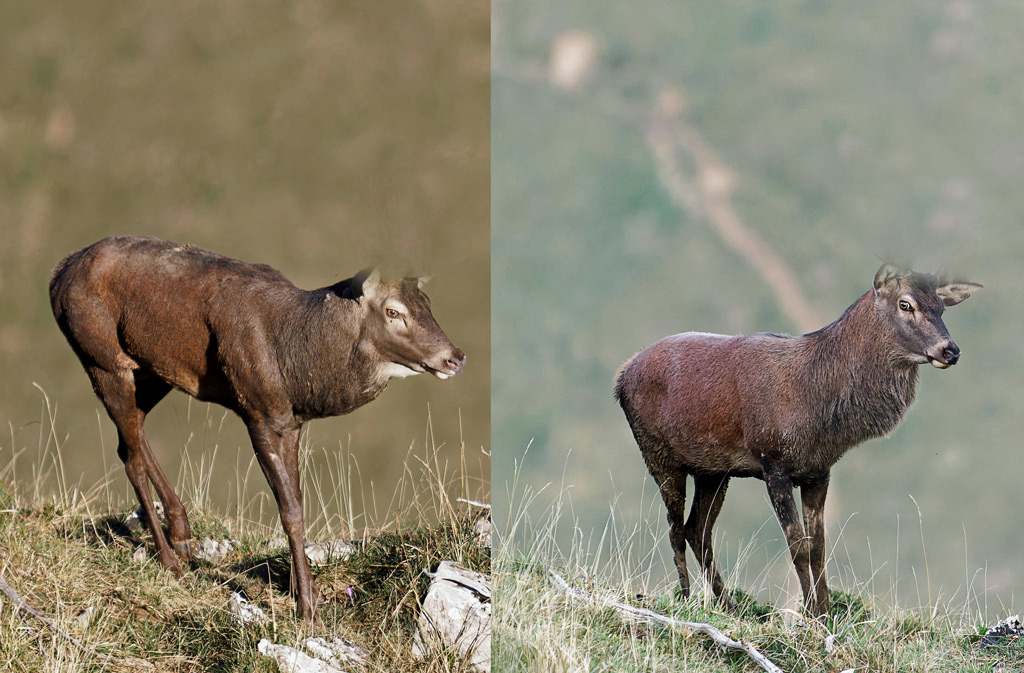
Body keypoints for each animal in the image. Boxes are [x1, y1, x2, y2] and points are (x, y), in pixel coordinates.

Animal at [49, 235, 466, 621]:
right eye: (394, 311)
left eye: (428, 304)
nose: (455, 357)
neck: (297, 368)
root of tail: (58, 276)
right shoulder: (257, 411)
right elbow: (288, 510)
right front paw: (306, 607)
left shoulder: (291, 422)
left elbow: (297, 500)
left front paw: (307, 592)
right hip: (102, 358)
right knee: (131, 457)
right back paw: (171, 562)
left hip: (151, 372)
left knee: (130, 441)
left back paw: (182, 534)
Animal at [614, 264, 981, 617]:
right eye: (906, 304)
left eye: (941, 308)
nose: (950, 350)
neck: (820, 407)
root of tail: (621, 375)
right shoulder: (773, 463)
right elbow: (798, 546)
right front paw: (809, 616)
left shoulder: (818, 472)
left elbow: (818, 547)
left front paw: (826, 614)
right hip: (659, 454)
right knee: (676, 528)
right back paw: (688, 598)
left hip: (713, 470)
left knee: (698, 529)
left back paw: (728, 605)